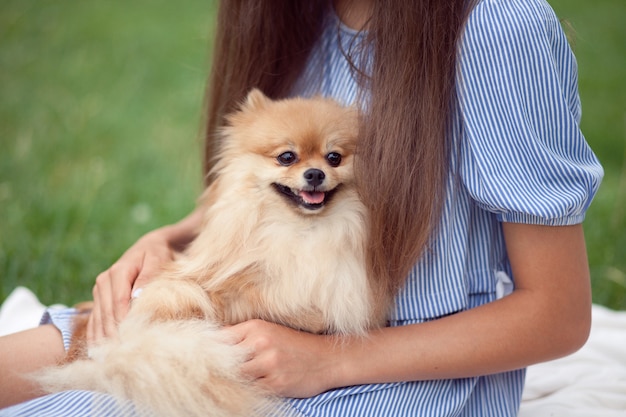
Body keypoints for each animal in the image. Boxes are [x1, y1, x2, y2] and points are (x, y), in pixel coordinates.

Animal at [34, 89, 388, 414]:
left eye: (334, 157)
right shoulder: (188, 288)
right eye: (286, 157)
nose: (315, 174)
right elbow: (260, 301)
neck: (301, 231)